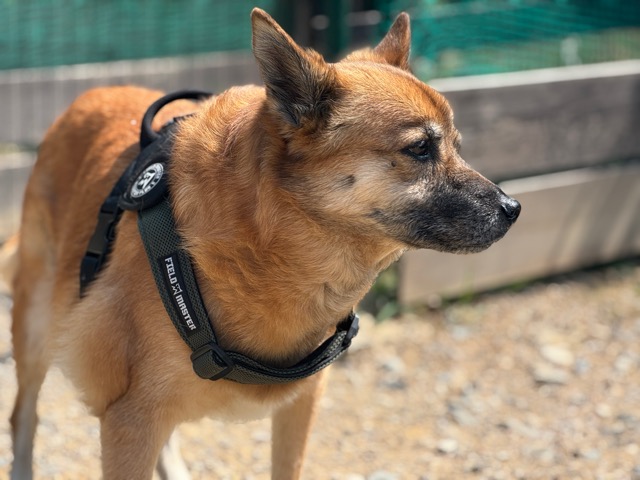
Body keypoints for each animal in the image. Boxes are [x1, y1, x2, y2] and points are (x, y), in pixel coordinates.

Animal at [3, 8, 520, 479]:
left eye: (457, 146)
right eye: (419, 149)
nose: (513, 207)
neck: (268, 244)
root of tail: (91, 94)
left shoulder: (300, 404)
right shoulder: (129, 419)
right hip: (36, 329)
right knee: (23, 415)